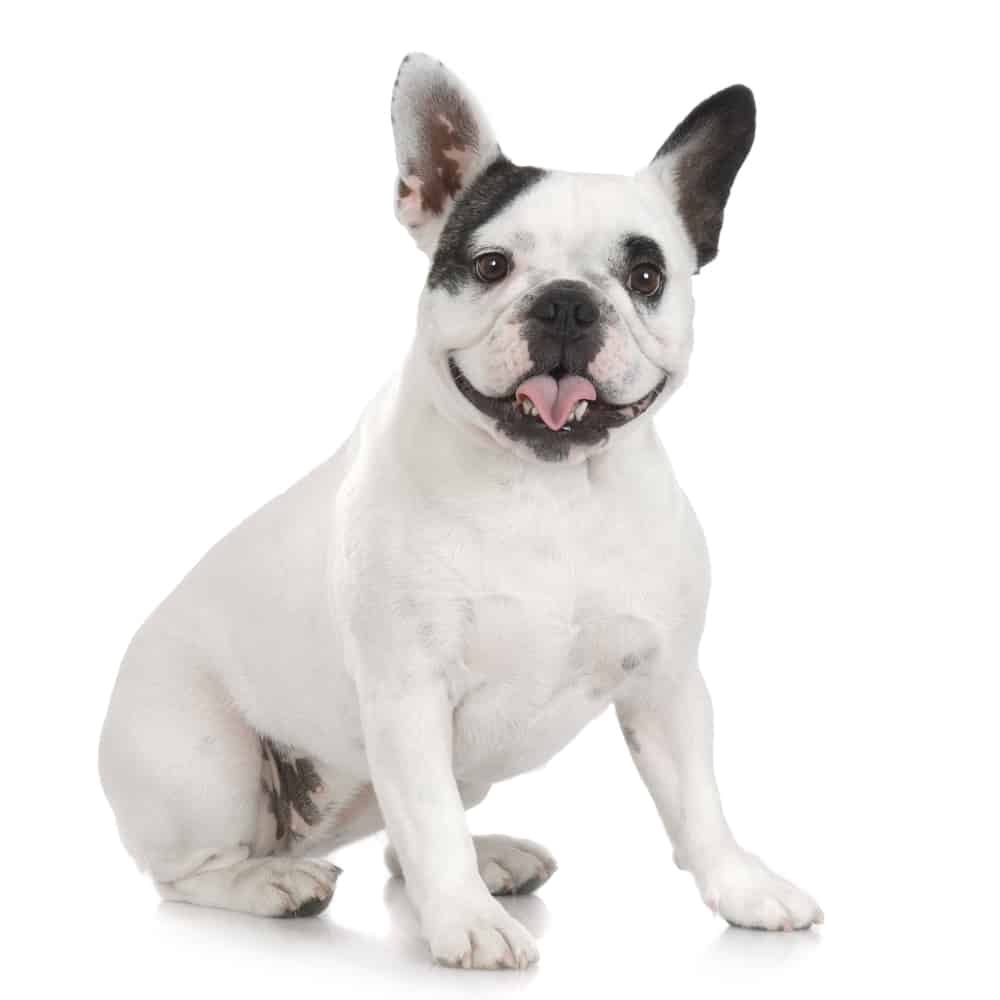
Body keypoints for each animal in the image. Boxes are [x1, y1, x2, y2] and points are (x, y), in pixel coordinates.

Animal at [99, 50, 820, 964]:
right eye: (491, 267)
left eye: (647, 277)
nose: (565, 300)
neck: (550, 488)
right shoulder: (408, 692)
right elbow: (429, 820)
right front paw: (467, 926)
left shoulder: (668, 685)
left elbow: (698, 804)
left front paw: (743, 887)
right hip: (203, 762)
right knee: (194, 872)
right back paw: (274, 883)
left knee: (397, 841)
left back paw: (491, 858)